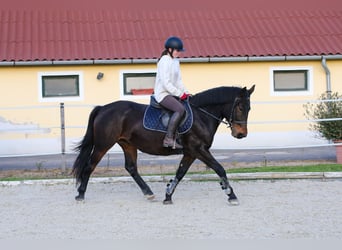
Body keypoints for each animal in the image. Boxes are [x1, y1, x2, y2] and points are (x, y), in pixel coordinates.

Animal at [72, 85, 254, 204]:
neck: (201, 115)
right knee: (89, 166)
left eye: (249, 108)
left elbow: (180, 173)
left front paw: (168, 196)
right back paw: (80, 195)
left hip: (128, 144)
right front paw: (231, 194)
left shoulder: (190, 153)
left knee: (131, 168)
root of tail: (103, 108)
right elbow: (219, 168)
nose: (241, 134)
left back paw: (149, 193)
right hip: (103, 145)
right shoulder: (199, 149)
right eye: (239, 107)